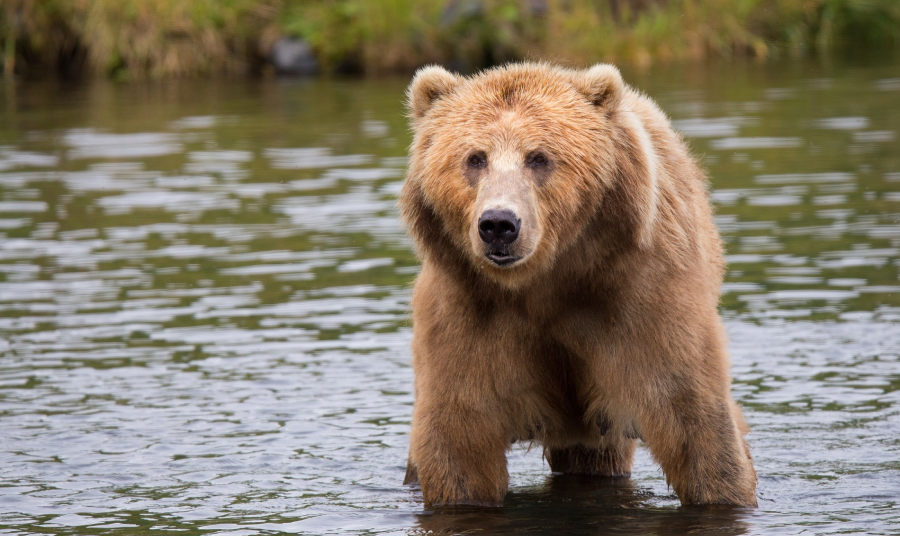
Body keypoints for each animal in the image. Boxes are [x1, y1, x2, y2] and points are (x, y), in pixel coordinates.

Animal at [398, 61, 756, 506]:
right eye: (475, 158)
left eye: (538, 157)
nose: (498, 224)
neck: (546, 280)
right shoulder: (468, 311)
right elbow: (460, 436)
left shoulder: (640, 296)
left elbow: (691, 413)